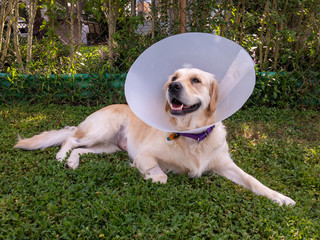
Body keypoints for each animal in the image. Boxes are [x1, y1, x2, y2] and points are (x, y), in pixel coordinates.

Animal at [14, 68, 296, 206]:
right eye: (174, 77)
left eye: (196, 80)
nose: (173, 86)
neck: (193, 136)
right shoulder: (144, 154)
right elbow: (160, 175)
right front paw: (148, 175)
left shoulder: (226, 165)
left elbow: (253, 181)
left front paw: (281, 198)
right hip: (102, 130)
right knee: (71, 139)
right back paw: (62, 157)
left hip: (109, 147)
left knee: (81, 149)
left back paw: (72, 162)